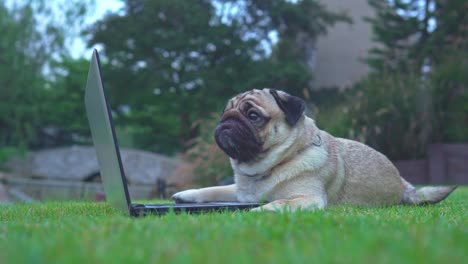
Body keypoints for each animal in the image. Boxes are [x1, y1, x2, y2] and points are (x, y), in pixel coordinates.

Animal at [172, 88, 458, 212]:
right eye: (225, 113)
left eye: (253, 116)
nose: (226, 123)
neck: (265, 168)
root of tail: (404, 185)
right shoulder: (241, 191)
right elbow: (214, 189)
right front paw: (187, 195)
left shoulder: (307, 199)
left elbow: (277, 203)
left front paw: (257, 212)